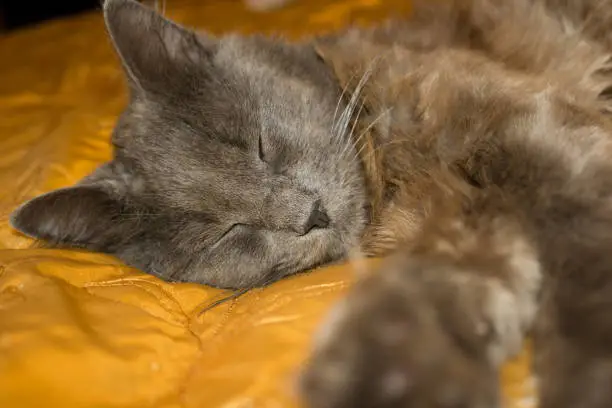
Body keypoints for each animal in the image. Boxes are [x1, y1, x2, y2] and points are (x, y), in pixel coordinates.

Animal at [9, 0, 612, 406]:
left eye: (259, 146)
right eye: (226, 232)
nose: (310, 214)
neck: (390, 172)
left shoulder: (536, 132)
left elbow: (584, 255)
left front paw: (585, 382)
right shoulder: (465, 220)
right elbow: (449, 288)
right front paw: (389, 377)